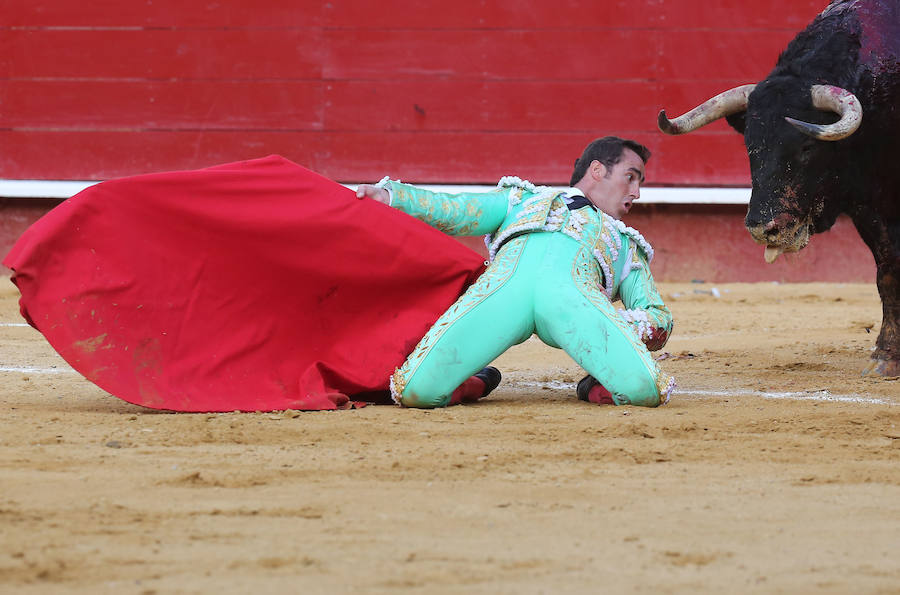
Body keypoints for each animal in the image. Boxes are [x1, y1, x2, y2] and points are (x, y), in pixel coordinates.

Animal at [652, 1, 900, 378]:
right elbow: (887, 272)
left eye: (808, 147)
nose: (763, 228)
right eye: (749, 145)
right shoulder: (868, 207)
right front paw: (886, 356)